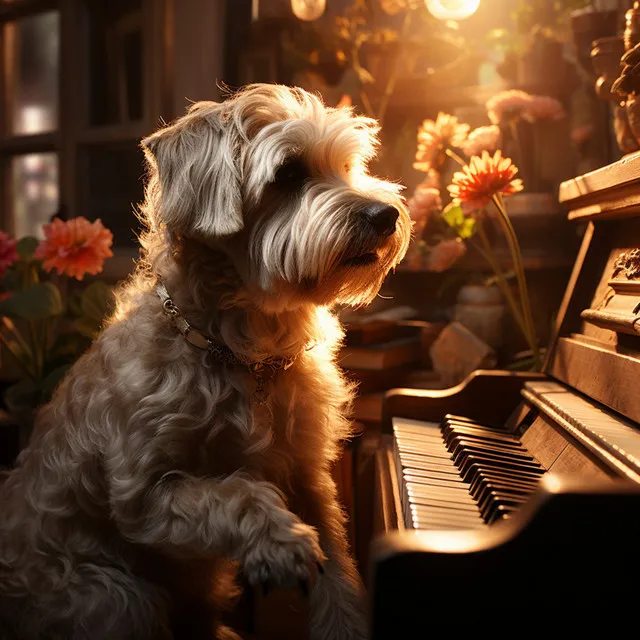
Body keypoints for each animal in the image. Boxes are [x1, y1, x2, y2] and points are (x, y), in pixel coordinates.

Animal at [0, 85, 410, 640]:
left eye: (348, 166)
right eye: (288, 174)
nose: (385, 215)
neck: (242, 353)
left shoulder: (308, 478)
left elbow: (340, 575)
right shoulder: (142, 496)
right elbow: (236, 492)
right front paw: (281, 541)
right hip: (117, 597)